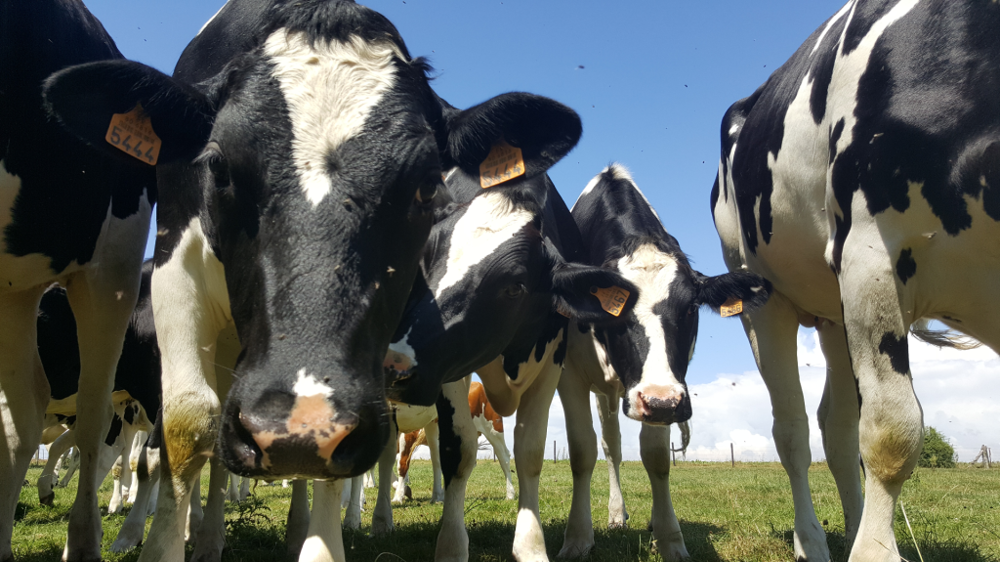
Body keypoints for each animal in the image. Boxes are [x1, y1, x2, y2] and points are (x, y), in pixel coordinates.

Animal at [43, 1, 586, 561]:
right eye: (217, 167)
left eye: (427, 185)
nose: (296, 429)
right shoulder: (176, 270)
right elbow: (188, 425)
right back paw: (206, 533)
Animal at [381, 157, 646, 561]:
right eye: (423, 264)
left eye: (515, 286)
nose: (394, 369)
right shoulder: (448, 368)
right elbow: (459, 452)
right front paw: (451, 546)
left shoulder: (552, 360)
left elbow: (530, 453)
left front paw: (531, 545)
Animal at [558, 165, 769, 559]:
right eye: (617, 311)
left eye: (690, 309)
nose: (658, 401)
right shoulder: (570, 376)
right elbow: (582, 452)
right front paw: (577, 538)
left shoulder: (668, 391)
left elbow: (656, 457)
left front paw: (670, 538)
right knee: (610, 446)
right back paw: (615, 513)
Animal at [710, 1, 1000, 560]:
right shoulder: (869, 253)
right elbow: (891, 430)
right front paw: (876, 553)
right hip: (762, 298)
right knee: (793, 430)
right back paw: (811, 540)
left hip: (835, 316)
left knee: (837, 429)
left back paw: (850, 526)